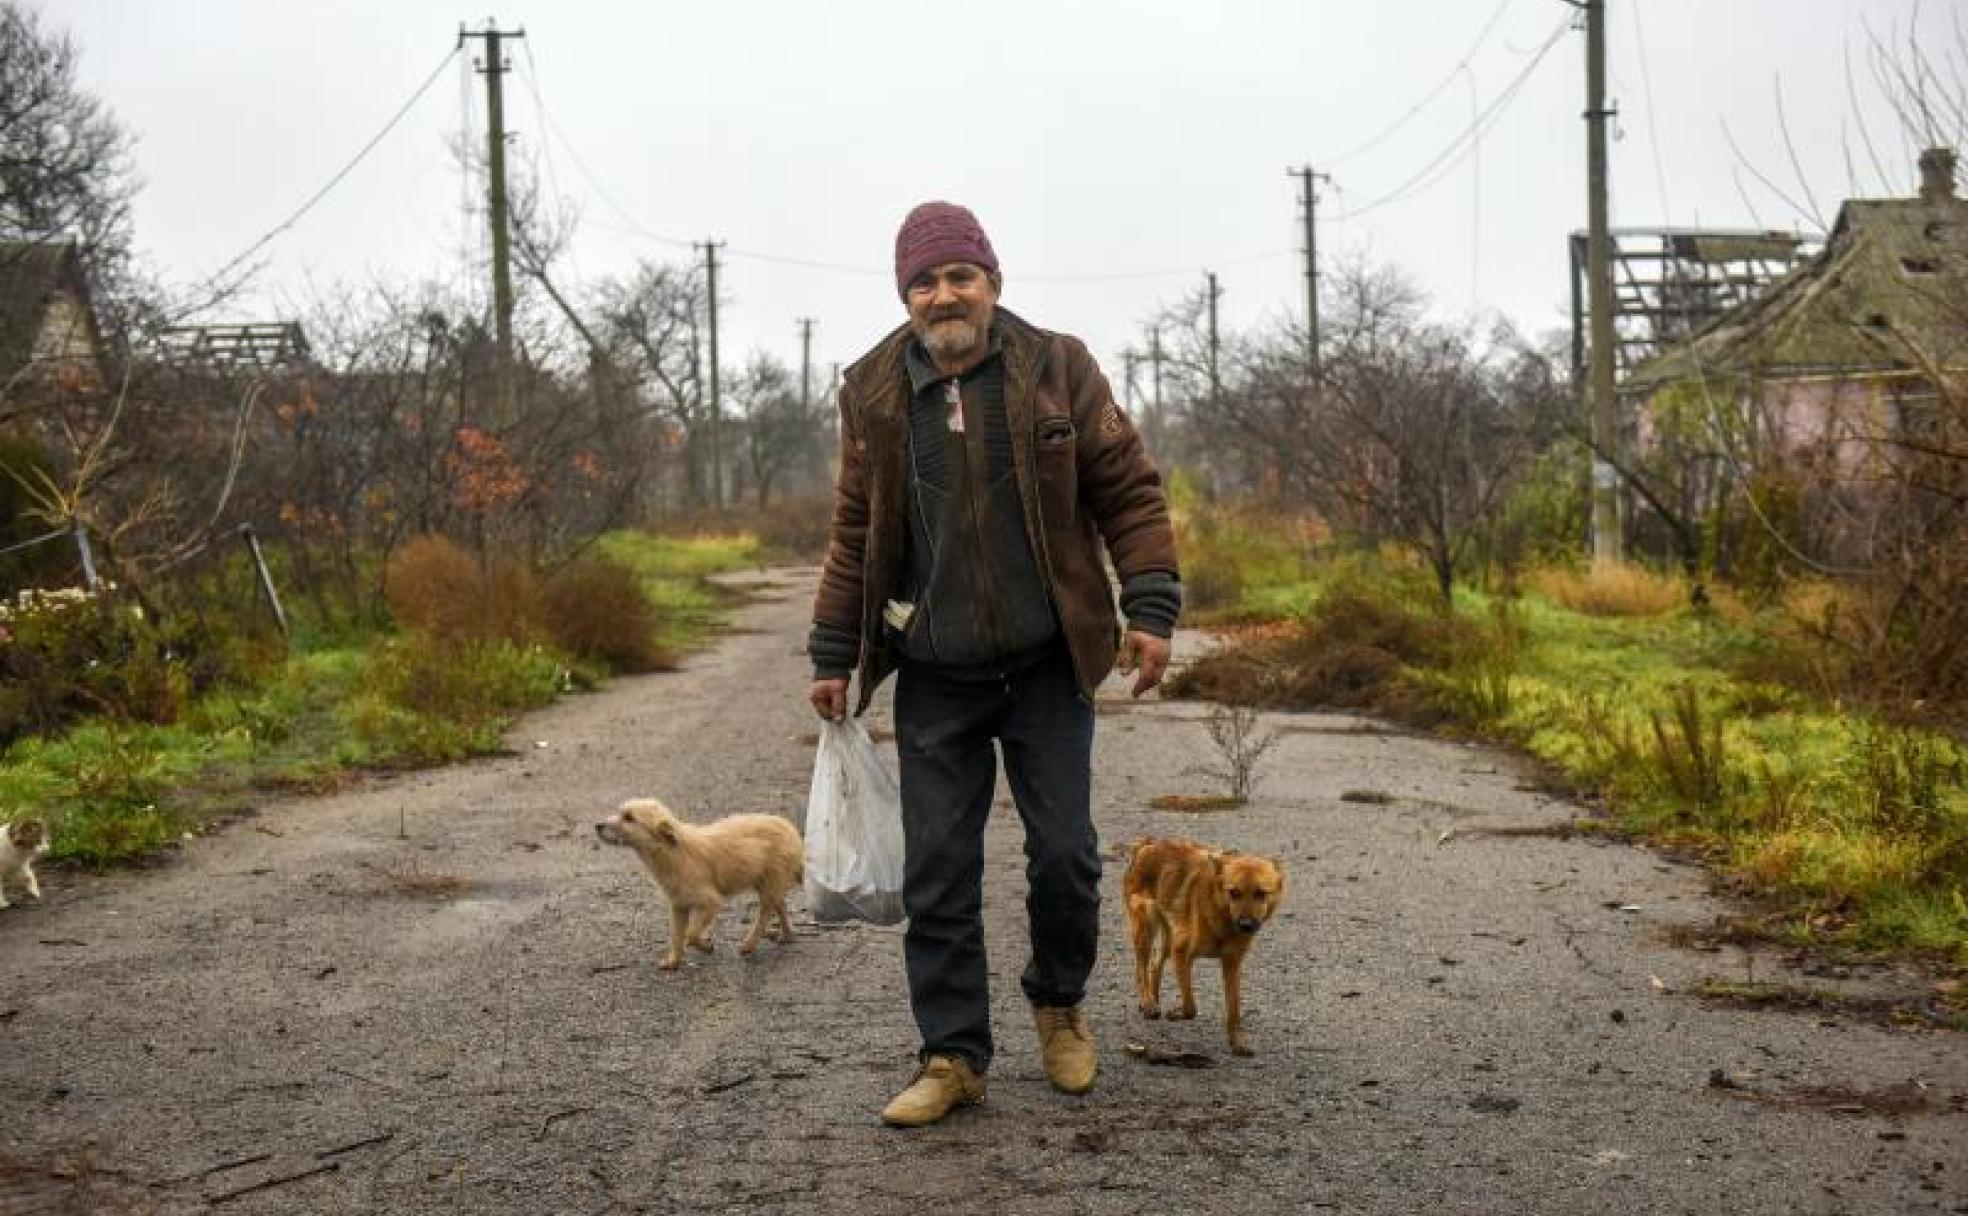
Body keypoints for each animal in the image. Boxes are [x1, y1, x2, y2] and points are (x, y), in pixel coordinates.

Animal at [590, 794, 799, 964]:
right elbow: (676, 935)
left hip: (768, 883)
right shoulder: (678, 905)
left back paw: (749, 944)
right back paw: (786, 935)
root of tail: (790, 828)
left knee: (765, 914)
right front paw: (673, 962)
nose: (598, 825)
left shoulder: (711, 902)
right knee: (780, 905)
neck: (672, 852)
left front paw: (706, 947)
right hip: (767, 884)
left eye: (629, 817)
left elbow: (690, 934)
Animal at [1125, 834, 1291, 1054]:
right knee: (1140, 968)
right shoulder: (1182, 954)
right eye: (1234, 892)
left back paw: (1154, 998)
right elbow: (1190, 1006)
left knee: (1154, 964)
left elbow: (1234, 1009)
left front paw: (1237, 1041)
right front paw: (1176, 1013)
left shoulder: (1232, 964)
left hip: (1169, 934)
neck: (1221, 915)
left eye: (1261, 893)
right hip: (1147, 918)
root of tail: (1150, 841)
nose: (1246, 925)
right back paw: (1148, 1002)